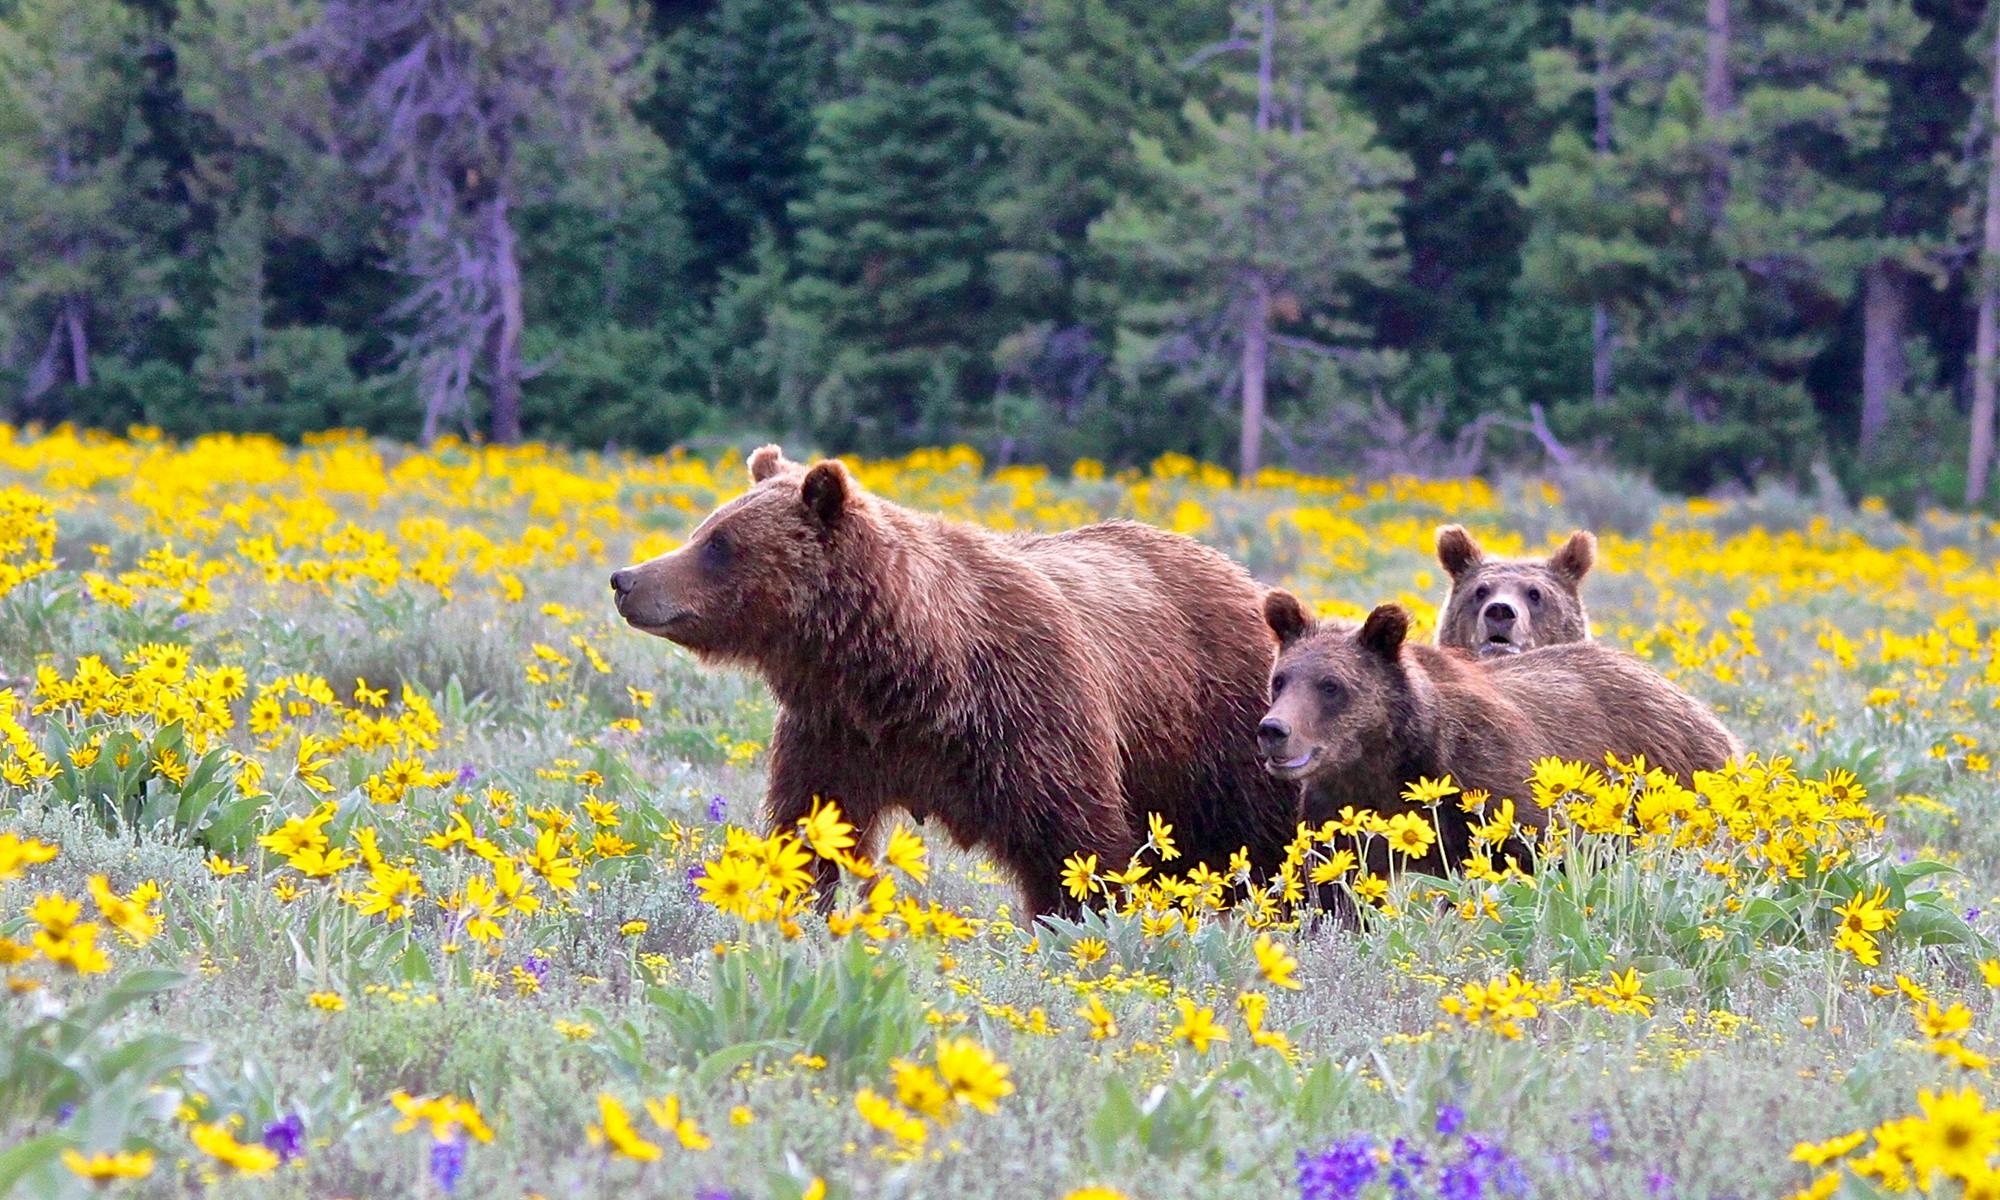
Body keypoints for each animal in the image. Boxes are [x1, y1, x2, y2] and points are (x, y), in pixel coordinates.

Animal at [608, 446, 1296, 916]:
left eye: (717, 544)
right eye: (704, 528)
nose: (626, 579)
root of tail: (1241, 576)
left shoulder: (1031, 710)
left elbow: (1077, 846)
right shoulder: (834, 732)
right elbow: (806, 826)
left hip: (1220, 728)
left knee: (1272, 842)